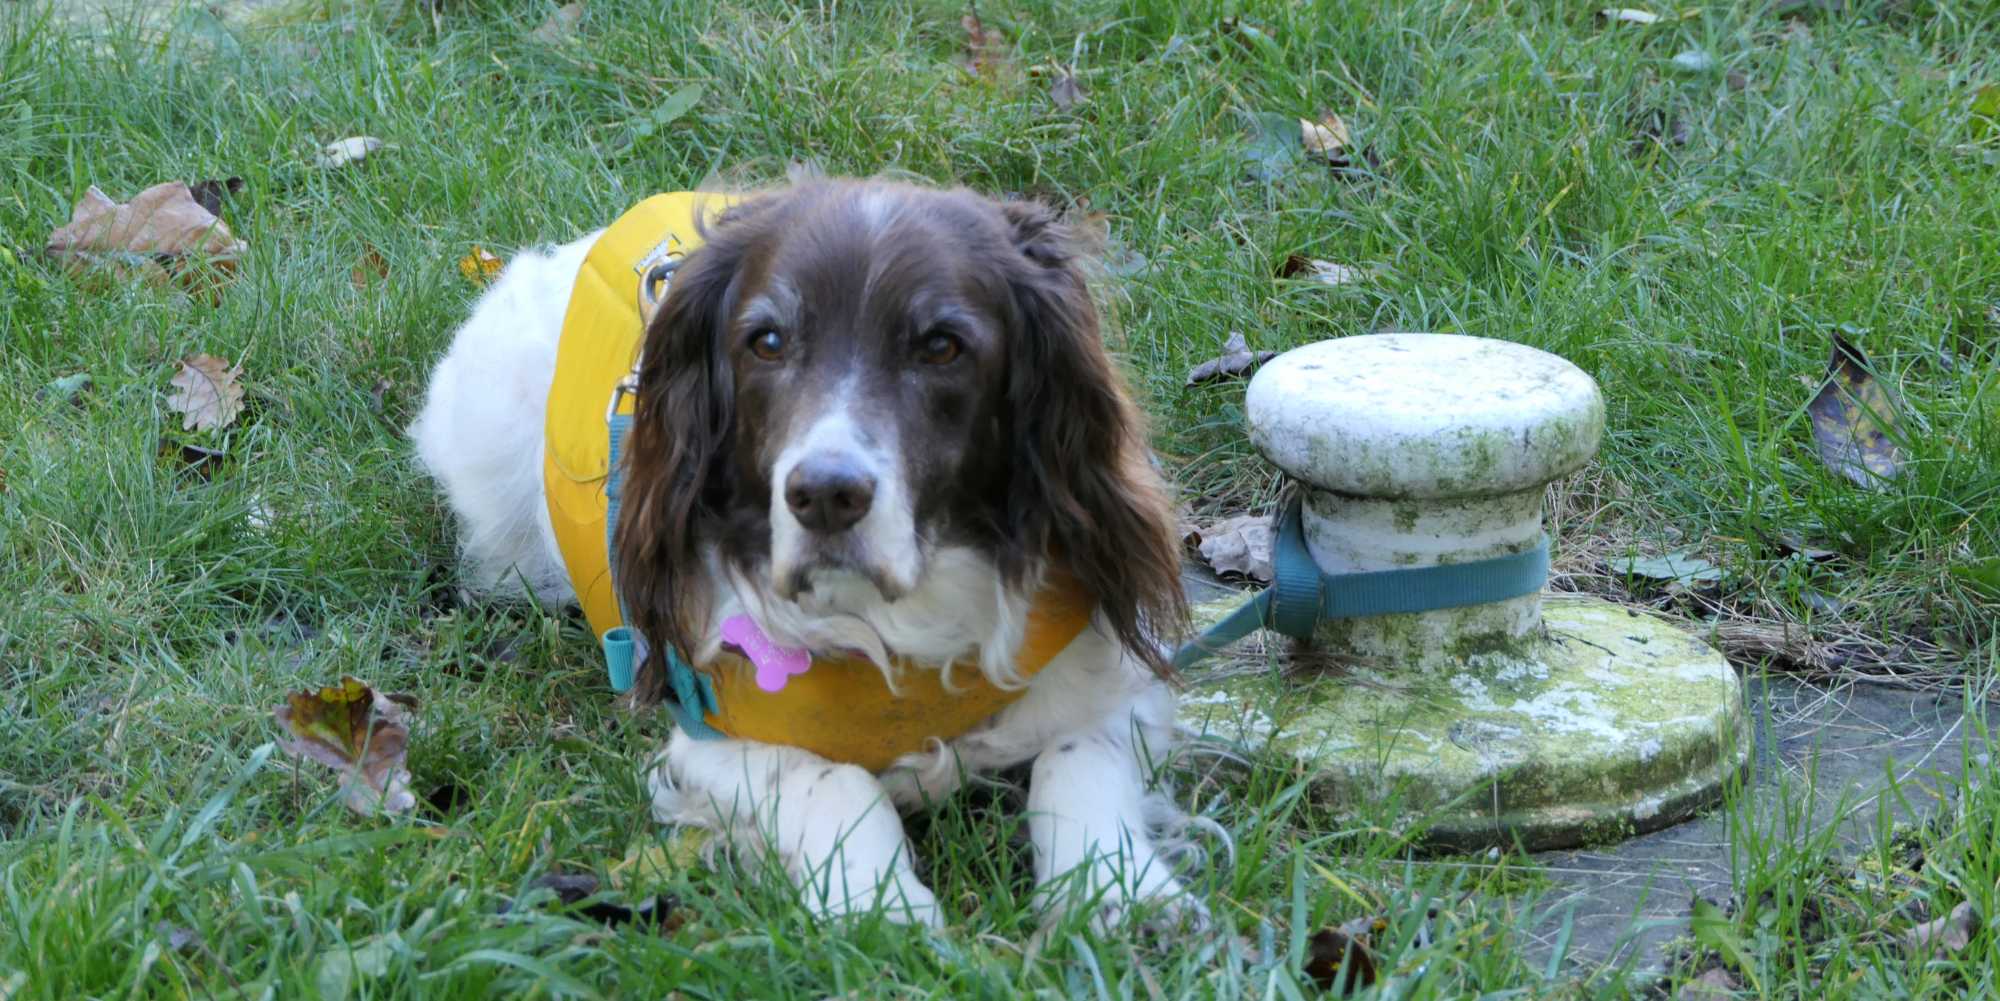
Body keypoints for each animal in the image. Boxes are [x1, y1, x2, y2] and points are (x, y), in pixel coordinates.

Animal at [406, 178, 1200, 928]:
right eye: (766, 341)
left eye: (942, 345)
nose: (824, 494)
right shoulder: (716, 733)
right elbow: (836, 782)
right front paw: (879, 903)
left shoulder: (1107, 672)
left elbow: (1077, 760)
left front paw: (1120, 892)